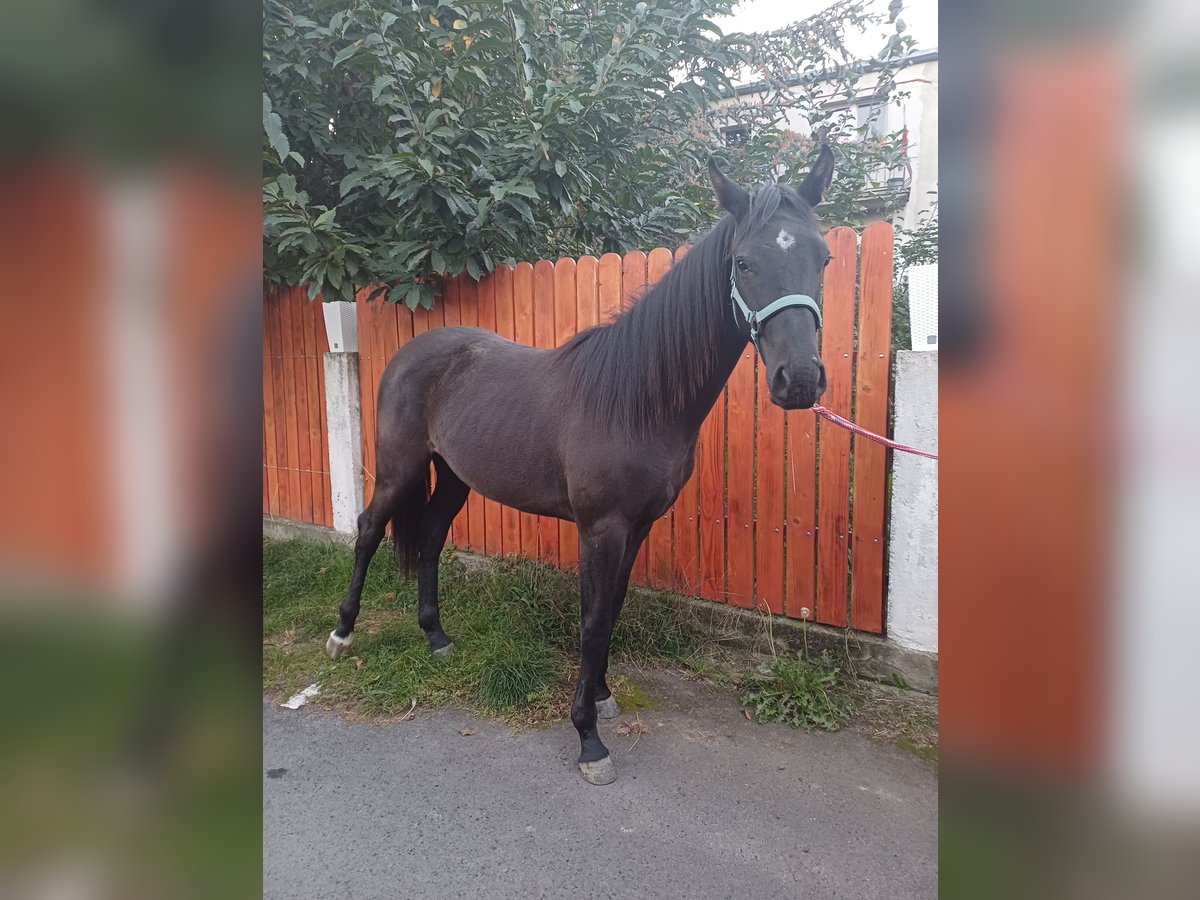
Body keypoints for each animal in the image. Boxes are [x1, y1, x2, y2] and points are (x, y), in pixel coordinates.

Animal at [326, 149, 835, 785]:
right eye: (743, 262)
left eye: (823, 258)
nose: (800, 380)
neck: (637, 398)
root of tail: (410, 352)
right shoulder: (601, 528)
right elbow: (592, 622)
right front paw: (589, 738)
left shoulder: (637, 527)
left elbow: (611, 609)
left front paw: (602, 695)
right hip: (399, 469)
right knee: (369, 529)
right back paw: (342, 634)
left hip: (455, 478)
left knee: (432, 538)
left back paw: (436, 637)